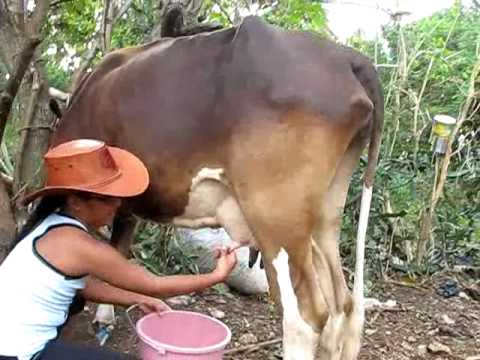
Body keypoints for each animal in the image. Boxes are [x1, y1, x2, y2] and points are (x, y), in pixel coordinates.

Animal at [51, 16, 382, 360]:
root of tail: (346, 57)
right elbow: (118, 247)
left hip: (275, 216)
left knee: (305, 317)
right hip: (325, 214)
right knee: (343, 305)